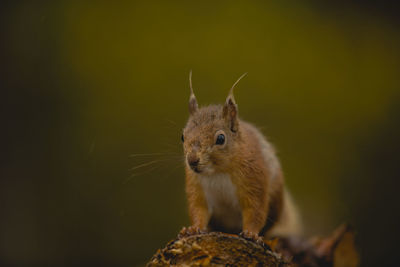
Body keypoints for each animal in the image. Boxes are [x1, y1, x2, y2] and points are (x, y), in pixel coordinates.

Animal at [178, 73, 300, 243]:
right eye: (182, 136)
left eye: (221, 138)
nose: (192, 160)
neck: (218, 171)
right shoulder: (196, 187)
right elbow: (198, 209)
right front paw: (192, 229)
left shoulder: (254, 180)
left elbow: (255, 210)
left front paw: (251, 233)